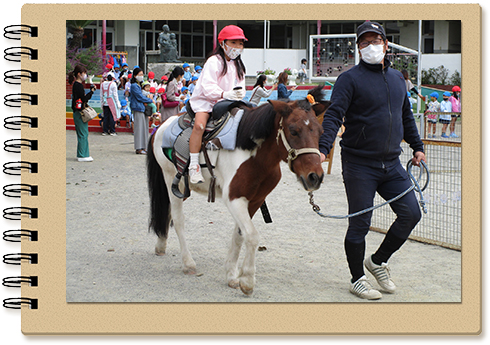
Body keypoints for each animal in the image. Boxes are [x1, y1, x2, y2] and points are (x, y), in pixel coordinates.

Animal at [145, 82, 330, 292]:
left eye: (320, 131)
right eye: (293, 130)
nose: (315, 177)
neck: (253, 155)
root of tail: (161, 126)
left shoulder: (255, 200)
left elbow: (240, 235)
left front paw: (232, 275)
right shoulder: (234, 199)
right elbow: (252, 236)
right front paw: (248, 279)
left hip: (182, 188)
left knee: (168, 214)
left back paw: (161, 244)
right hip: (170, 180)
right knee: (178, 220)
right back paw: (188, 263)